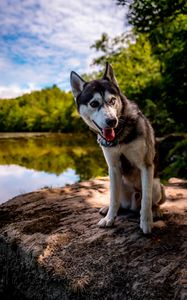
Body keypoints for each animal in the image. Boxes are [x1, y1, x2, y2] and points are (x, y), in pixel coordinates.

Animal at [70, 62, 165, 233]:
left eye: (112, 100)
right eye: (94, 104)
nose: (111, 121)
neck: (120, 136)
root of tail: (133, 204)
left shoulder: (146, 165)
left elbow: (146, 200)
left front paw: (147, 222)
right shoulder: (113, 168)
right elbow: (114, 197)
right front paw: (110, 218)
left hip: (157, 186)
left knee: (151, 200)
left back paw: (155, 210)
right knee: (118, 199)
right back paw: (108, 208)